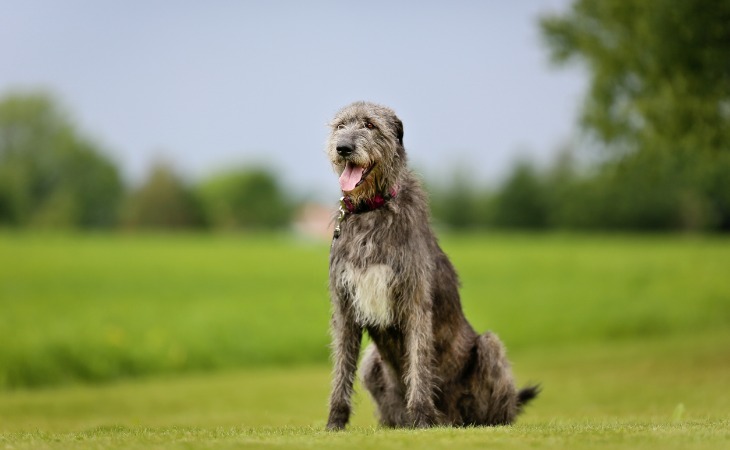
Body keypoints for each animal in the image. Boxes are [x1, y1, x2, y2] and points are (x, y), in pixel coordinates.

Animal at [324, 101, 536, 428]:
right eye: (340, 126)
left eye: (370, 125)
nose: (343, 147)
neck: (371, 210)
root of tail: (452, 418)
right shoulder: (345, 304)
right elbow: (341, 367)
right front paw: (335, 422)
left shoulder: (415, 300)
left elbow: (419, 361)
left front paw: (422, 417)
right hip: (372, 362)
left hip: (489, 348)